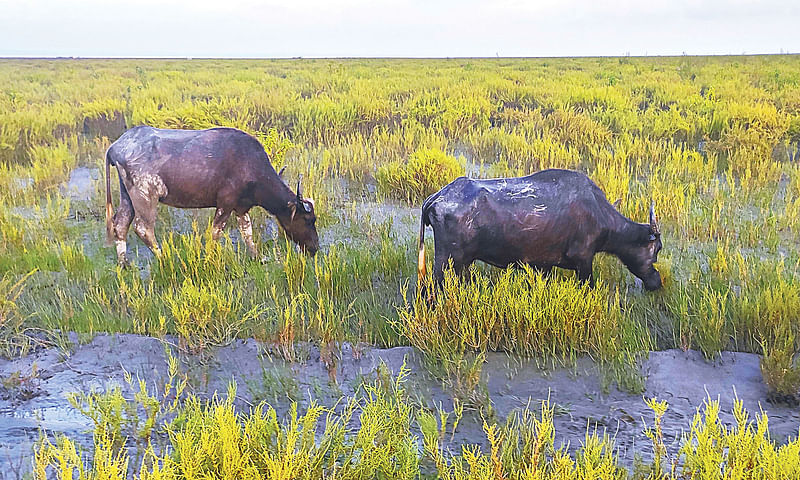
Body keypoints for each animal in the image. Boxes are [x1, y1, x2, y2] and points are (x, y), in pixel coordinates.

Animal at [104, 125, 318, 264]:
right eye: (309, 220)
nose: (315, 248)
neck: (250, 164)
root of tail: (116, 146)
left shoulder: (241, 207)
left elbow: (246, 231)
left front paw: (258, 257)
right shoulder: (225, 203)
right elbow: (216, 232)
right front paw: (210, 258)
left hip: (127, 196)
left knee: (120, 223)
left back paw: (124, 264)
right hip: (146, 197)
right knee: (143, 228)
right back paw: (165, 258)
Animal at [418, 169, 664, 288]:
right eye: (657, 249)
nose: (657, 282)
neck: (598, 212)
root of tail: (437, 197)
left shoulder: (543, 266)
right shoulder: (584, 261)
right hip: (448, 262)